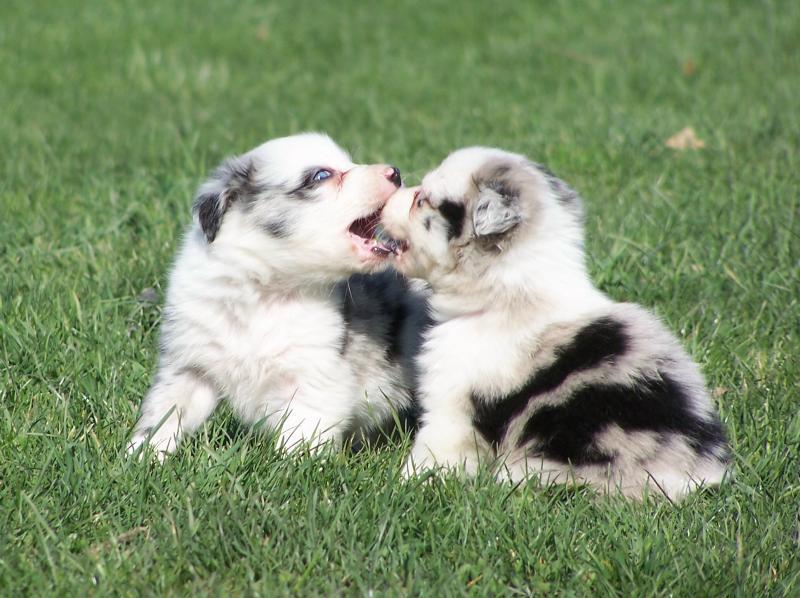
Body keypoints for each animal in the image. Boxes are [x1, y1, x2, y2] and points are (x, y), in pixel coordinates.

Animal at [129, 132, 428, 460]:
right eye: (321, 175)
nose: (394, 172)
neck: (262, 294)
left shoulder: (313, 374)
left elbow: (301, 437)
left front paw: (293, 467)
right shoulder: (189, 366)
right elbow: (163, 416)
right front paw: (141, 458)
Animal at [378, 146, 728, 502]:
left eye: (421, 199)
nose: (392, 186)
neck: (506, 298)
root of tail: (692, 476)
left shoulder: (452, 406)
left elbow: (434, 453)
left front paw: (408, 484)